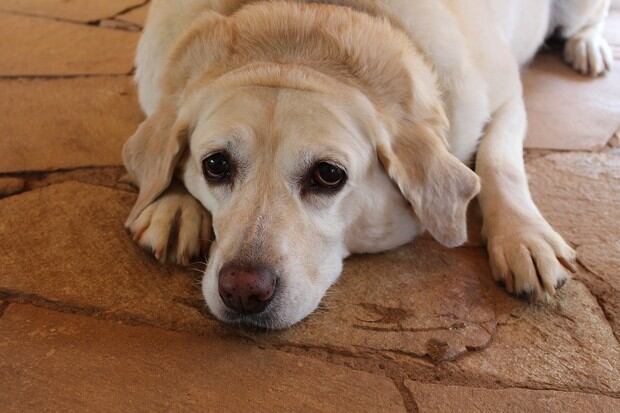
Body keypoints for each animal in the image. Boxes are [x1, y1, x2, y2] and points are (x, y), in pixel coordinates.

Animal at [123, 0, 612, 328]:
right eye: (216, 166)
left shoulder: (508, 96)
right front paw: (173, 204)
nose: (243, 290)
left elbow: (498, 161)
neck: (304, 20)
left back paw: (591, 46)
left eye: (328, 175)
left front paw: (524, 238)